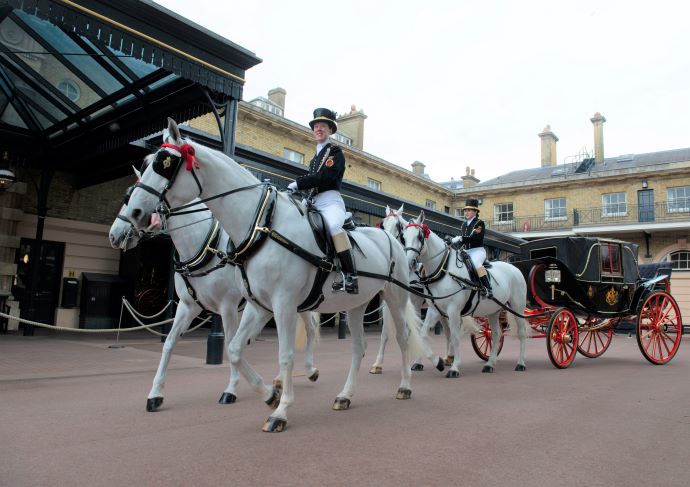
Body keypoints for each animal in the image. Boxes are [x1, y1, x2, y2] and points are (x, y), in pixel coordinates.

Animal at [109, 183, 320, 412]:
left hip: (297, 301)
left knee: (310, 328)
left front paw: (231, 389)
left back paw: (309, 370)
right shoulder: (188, 306)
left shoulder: (227, 306)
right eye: (127, 196)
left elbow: (228, 343)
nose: (114, 235)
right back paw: (280, 379)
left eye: (134, 200)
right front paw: (155, 393)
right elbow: (170, 342)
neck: (204, 245)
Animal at [370, 204, 452, 376]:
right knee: (449, 331)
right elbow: (385, 334)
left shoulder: (414, 305)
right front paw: (378, 364)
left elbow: (414, 333)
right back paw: (449, 357)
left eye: (398, 226)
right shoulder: (388, 305)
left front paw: (416, 362)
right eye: (383, 224)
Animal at [398, 212, 528, 376]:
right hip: (493, 310)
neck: (444, 270)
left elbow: (455, 336)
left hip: (517, 307)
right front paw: (437, 362)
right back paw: (489, 364)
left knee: (522, 332)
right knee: (496, 334)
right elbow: (423, 334)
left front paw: (454, 367)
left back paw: (521, 363)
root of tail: (514, 268)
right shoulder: (434, 310)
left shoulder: (453, 310)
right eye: (403, 237)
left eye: (420, 236)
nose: (410, 262)